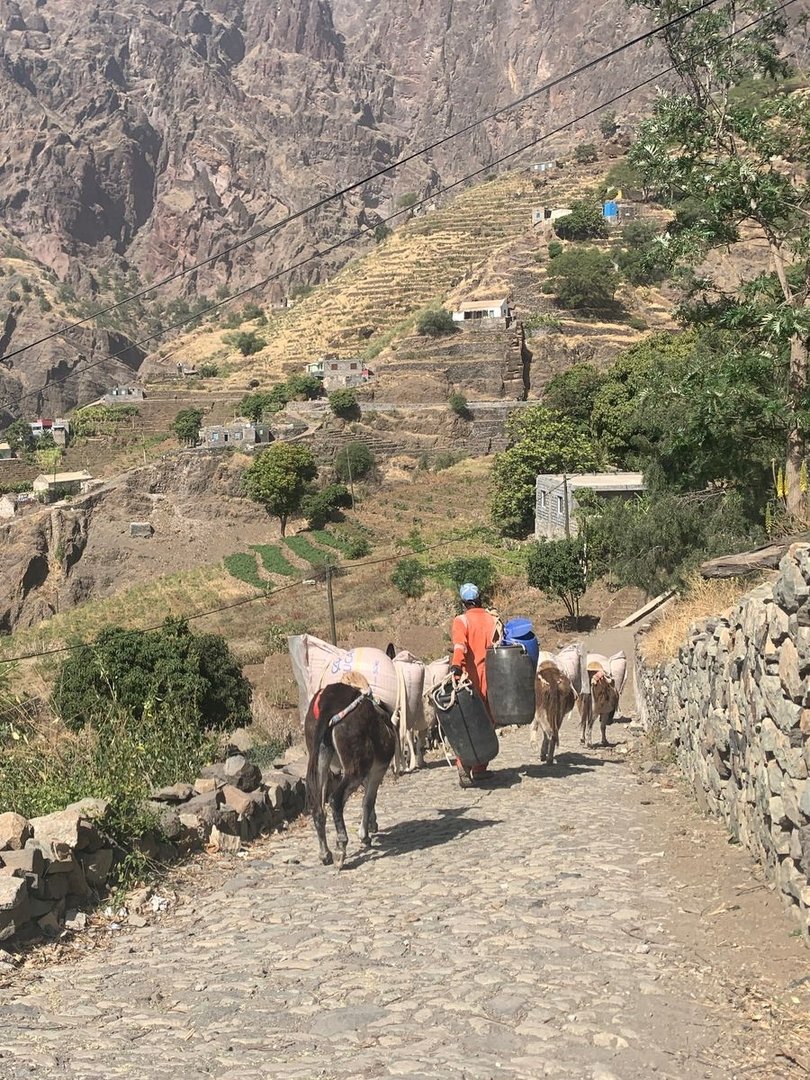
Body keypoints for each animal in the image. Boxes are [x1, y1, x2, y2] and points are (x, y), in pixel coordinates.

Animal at [304, 676, 397, 869]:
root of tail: (329, 700)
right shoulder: (377, 770)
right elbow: (368, 801)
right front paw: (365, 835)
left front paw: (370, 826)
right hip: (356, 768)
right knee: (335, 800)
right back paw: (341, 848)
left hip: (321, 761)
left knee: (318, 809)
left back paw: (325, 854)